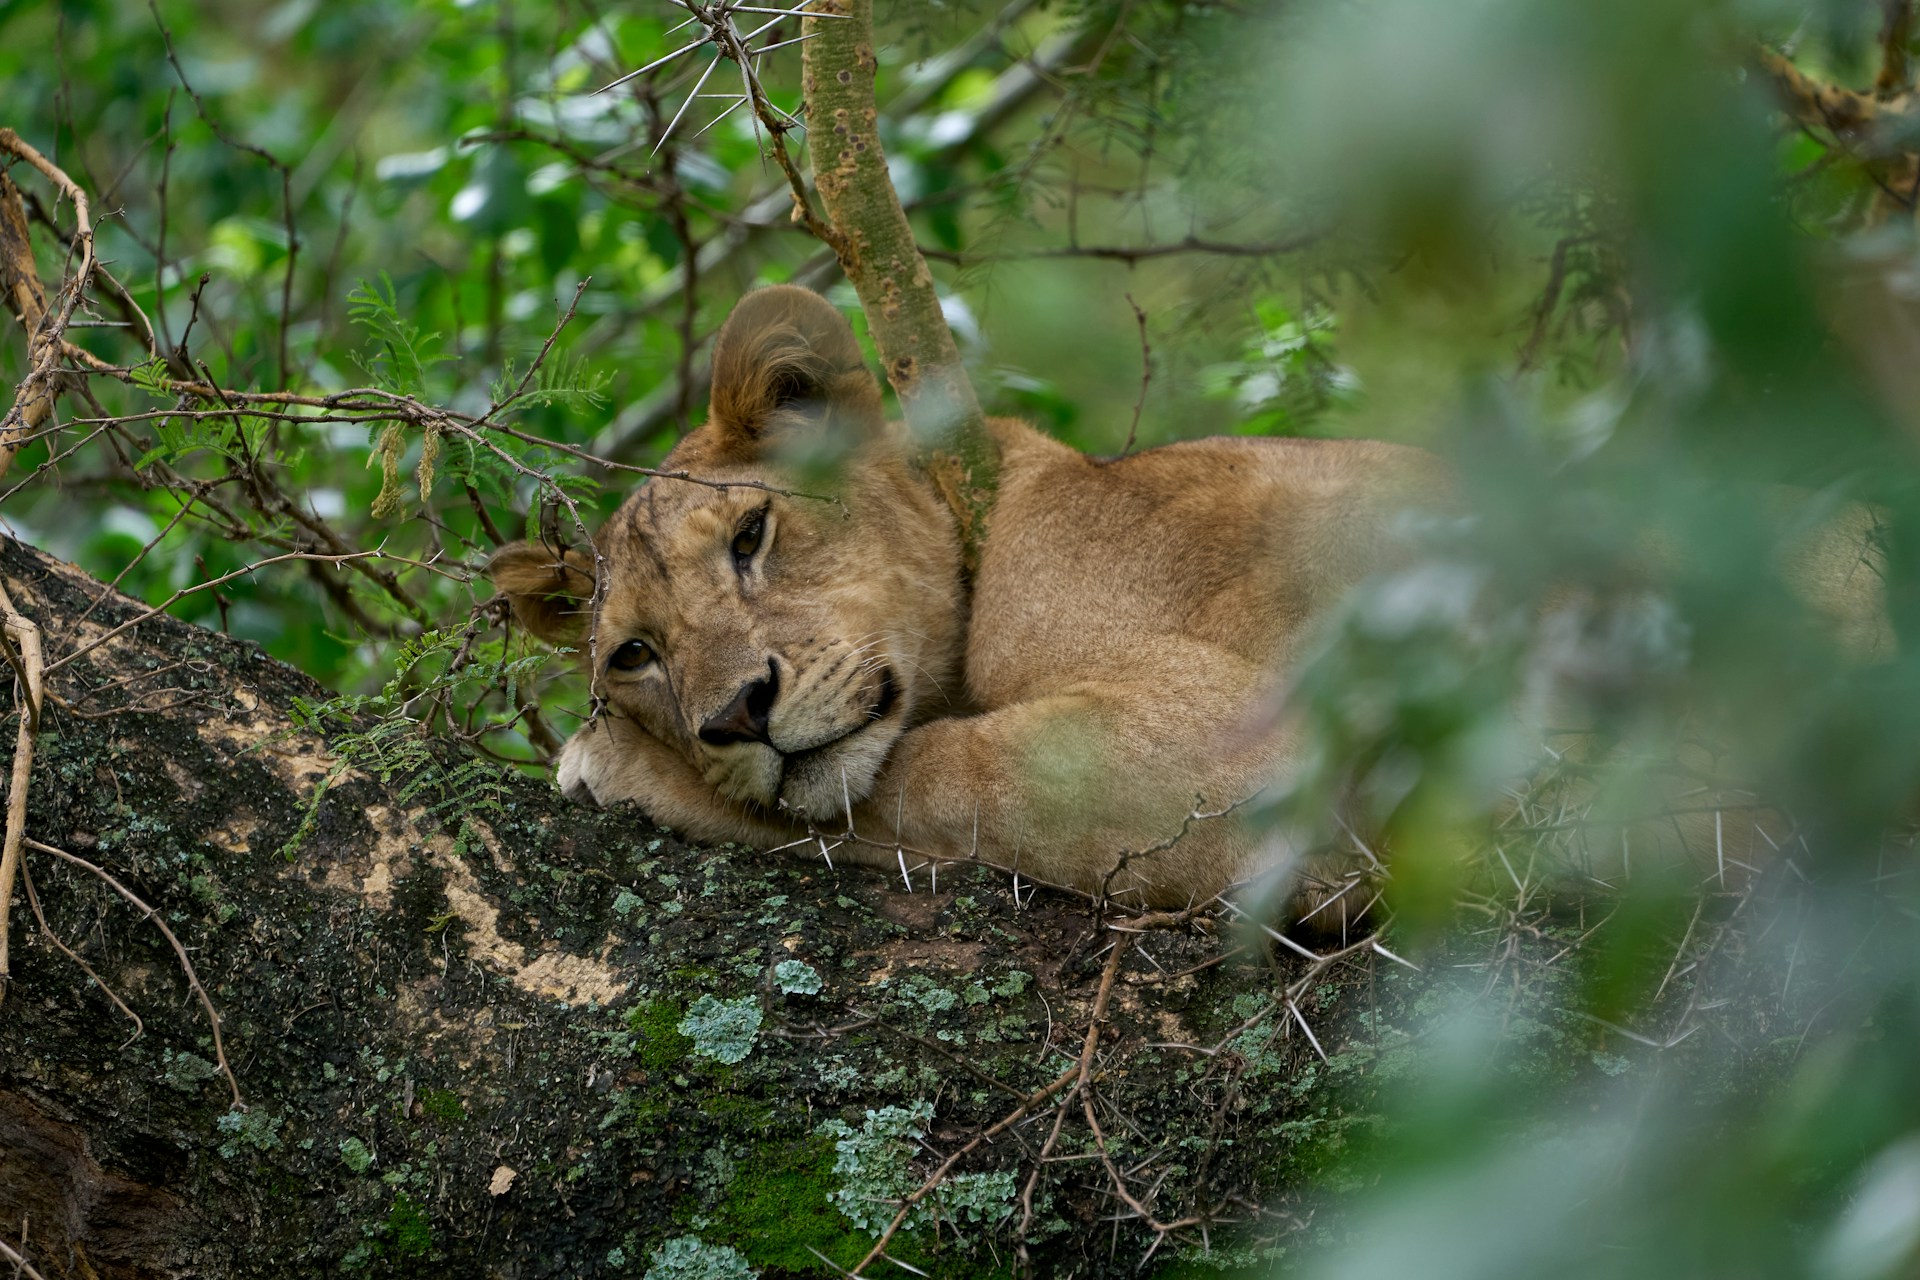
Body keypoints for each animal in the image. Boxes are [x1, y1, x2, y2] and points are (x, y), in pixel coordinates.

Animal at [487, 289, 1443, 909]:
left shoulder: (1229, 743)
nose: (736, 716)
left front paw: (614, 762)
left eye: (750, 535)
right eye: (633, 654)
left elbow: (934, 774)